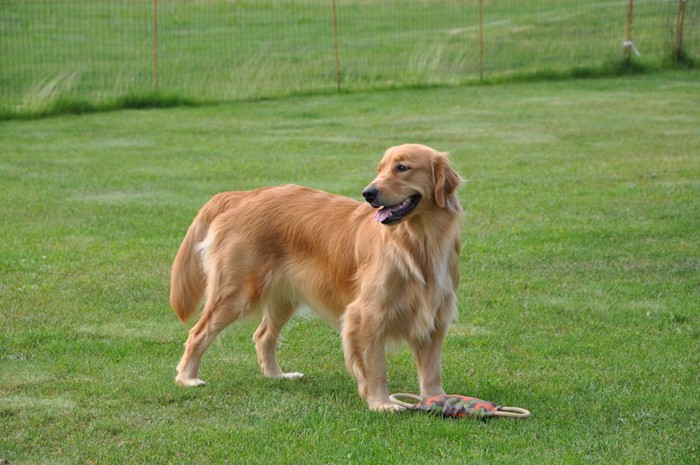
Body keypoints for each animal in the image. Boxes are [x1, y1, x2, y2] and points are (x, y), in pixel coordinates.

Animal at [170, 142, 462, 410]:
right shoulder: (367, 314)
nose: (368, 193)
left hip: (283, 296)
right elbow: (376, 366)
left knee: (263, 335)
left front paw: (438, 400)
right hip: (237, 291)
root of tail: (242, 196)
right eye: (380, 170)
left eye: (402, 168)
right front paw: (381, 403)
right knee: (198, 332)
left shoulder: (435, 313)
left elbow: (432, 371)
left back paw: (277, 376)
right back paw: (187, 379)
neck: (418, 243)